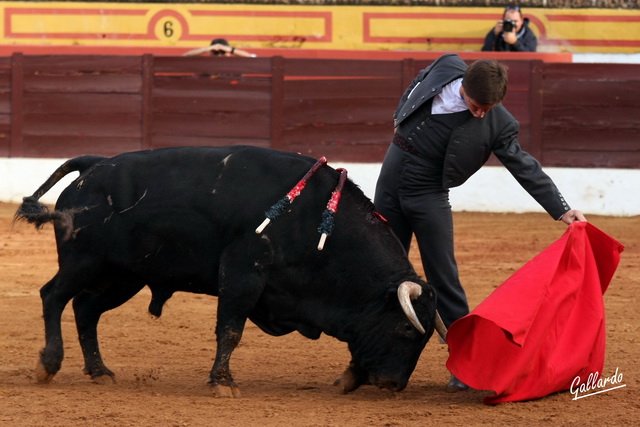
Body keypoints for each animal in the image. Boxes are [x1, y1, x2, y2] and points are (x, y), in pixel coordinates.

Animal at [15, 146, 444, 398]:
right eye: (407, 330)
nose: (394, 385)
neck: (319, 222)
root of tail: (94, 166)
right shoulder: (243, 270)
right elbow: (231, 329)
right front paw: (223, 383)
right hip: (82, 262)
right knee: (53, 296)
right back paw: (48, 364)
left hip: (123, 277)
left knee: (86, 310)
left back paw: (100, 371)